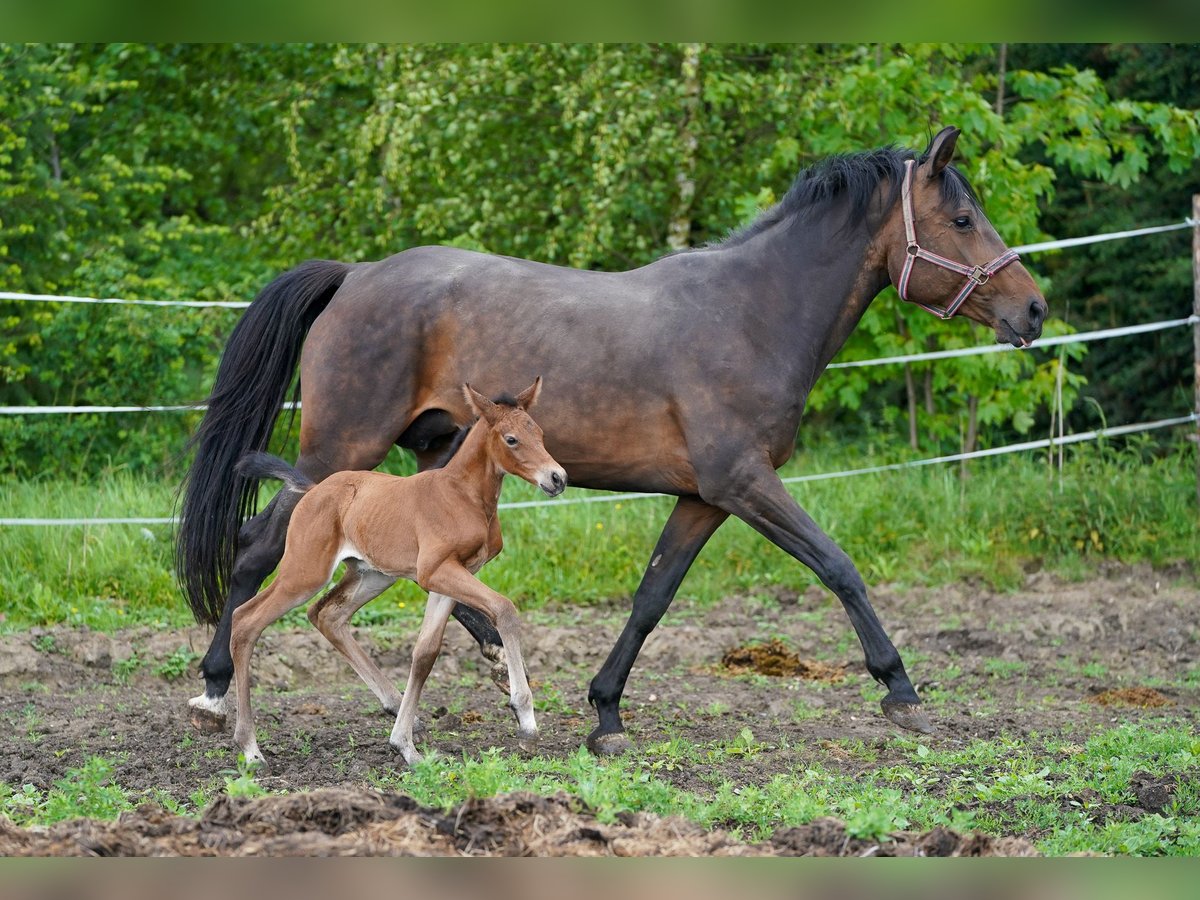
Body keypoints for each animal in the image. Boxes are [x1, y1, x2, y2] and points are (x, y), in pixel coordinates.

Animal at [229, 381, 566, 768]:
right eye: (511, 439)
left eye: (540, 434)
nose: (557, 478)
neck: (462, 496)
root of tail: (312, 491)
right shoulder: (436, 571)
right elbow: (504, 609)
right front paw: (525, 719)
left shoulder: (450, 576)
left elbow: (425, 654)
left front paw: (404, 745)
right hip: (305, 572)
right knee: (246, 619)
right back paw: (250, 747)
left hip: (373, 575)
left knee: (326, 615)